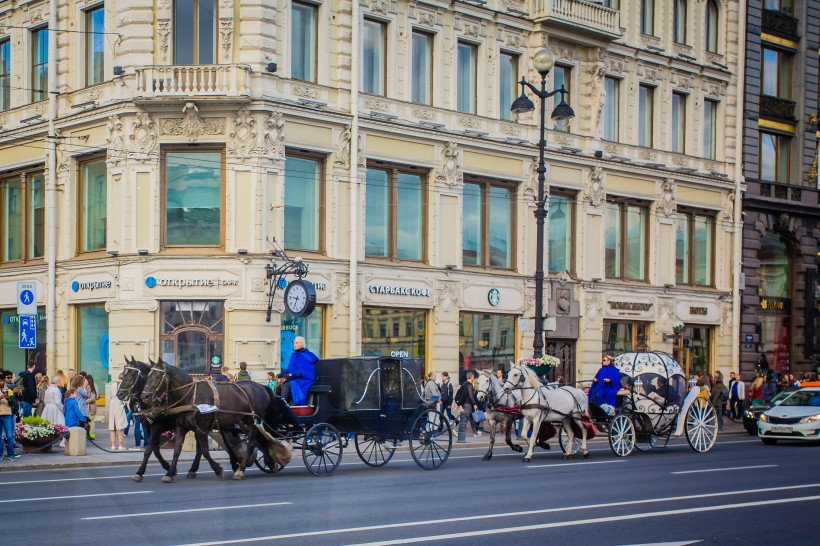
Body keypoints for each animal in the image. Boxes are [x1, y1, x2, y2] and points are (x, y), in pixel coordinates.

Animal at [143, 356, 288, 480]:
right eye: (148, 376)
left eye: (157, 376)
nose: (145, 397)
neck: (191, 395)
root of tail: (261, 386)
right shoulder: (181, 427)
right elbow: (177, 450)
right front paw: (169, 473)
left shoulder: (201, 428)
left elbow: (205, 451)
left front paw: (218, 469)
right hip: (244, 421)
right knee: (260, 440)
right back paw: (268, 463)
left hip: (253, 421)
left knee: (252, 442)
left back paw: (240, 470)